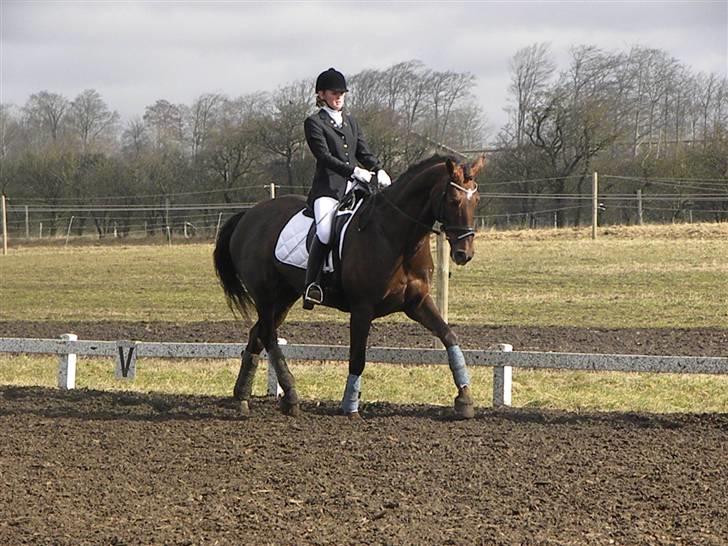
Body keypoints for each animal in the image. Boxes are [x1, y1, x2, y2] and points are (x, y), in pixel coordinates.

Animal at [210, 153, 484, 416]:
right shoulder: (362, 309)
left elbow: (449, 336)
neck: (395, 236)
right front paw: (351, 407)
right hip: (265, 296)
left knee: (257, 335)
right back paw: (290, 396)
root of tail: (249, 215)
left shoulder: (417, 303)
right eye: (453, 200)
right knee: (269, 337)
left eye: (476, 200)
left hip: (284, 298)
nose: (464, 254)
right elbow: (358, 358)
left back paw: (243, 398)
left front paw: (465, 399)